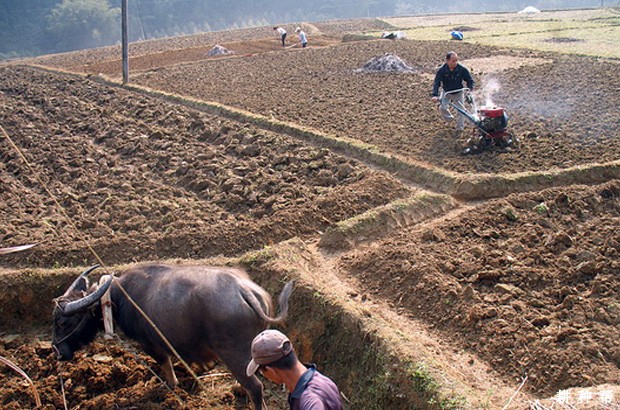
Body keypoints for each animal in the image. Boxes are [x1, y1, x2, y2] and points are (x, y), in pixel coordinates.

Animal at [52, 264, 294, 408]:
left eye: (63, 322)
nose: (57, 352)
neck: (118, 298)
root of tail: (243, 290)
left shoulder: (151, 345)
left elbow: (165, 364)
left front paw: (169, 385)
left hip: (233, 352)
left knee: (255, 386)